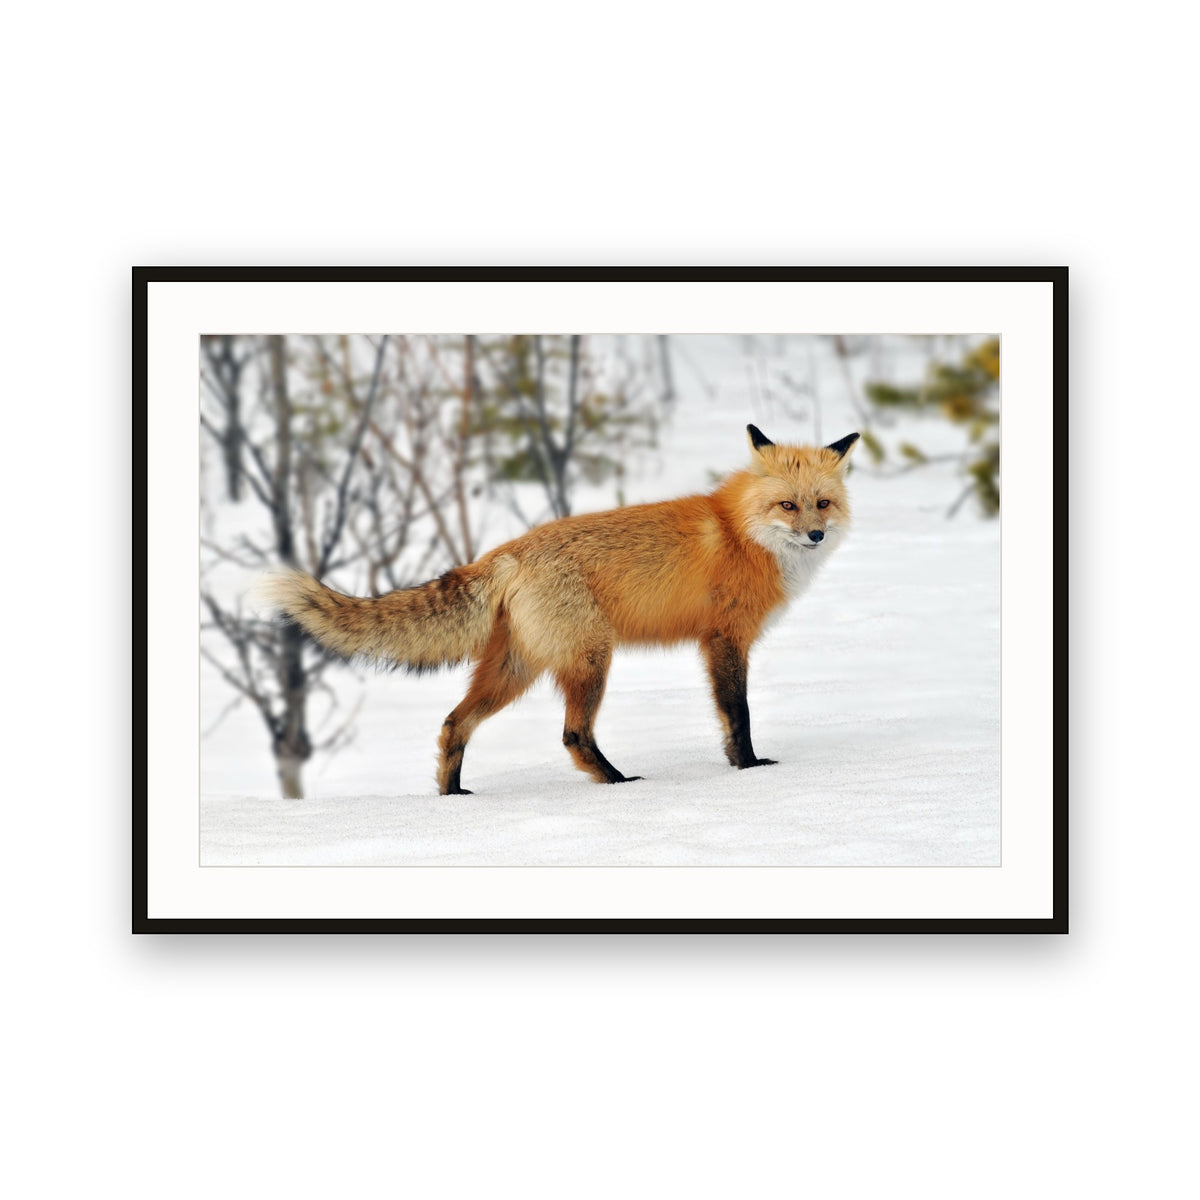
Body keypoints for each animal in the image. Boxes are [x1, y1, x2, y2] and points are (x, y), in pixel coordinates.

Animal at [258, 425, 859, 794]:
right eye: (788, 505)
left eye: (822, 503)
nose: (814, 534)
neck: (742, 534)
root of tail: (508, 550)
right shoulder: (725, 638)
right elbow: (739, 714)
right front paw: (749, 769)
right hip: (590, 659)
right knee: (573, 735)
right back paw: (616, 783)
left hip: (515, 668)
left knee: (453, 725)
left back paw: (453, 796)